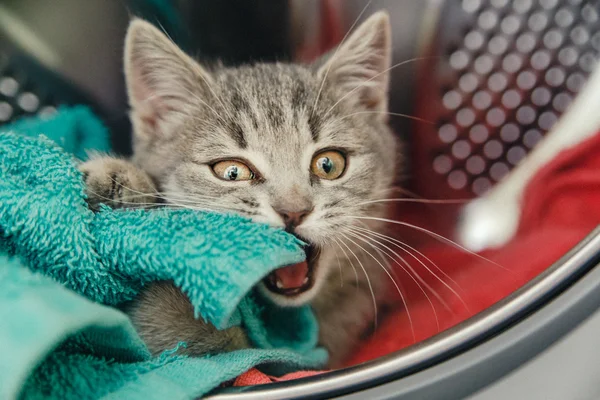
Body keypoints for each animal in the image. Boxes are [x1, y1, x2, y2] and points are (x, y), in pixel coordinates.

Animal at [79, 11, 398, 368]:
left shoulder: (315, 348)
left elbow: (235, 349)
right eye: (232, 172)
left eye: (328, 164)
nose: (293, 212)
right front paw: (119, 181)